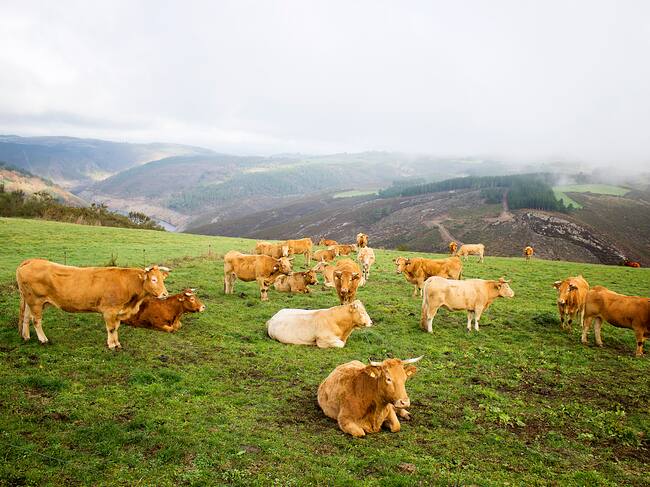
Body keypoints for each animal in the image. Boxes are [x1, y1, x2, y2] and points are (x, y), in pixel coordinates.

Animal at [16, 259, 170, 350]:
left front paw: (117, 343)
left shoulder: (117, 313)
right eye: (154, 279)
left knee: (26, 318)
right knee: (36, 320)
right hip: (36, 301)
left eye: (163, 279)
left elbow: (116, 328)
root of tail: (33, 261)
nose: (165, 294)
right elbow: (111, 329)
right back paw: (43, 339)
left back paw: (26, 336)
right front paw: (112, 345)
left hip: (30, 300)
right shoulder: (109, 311)